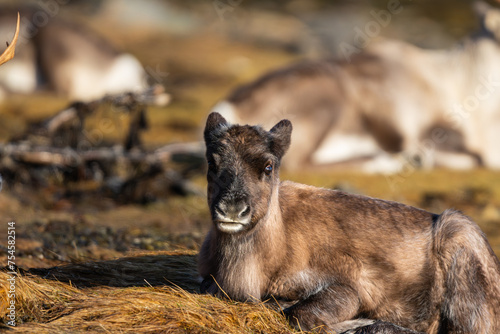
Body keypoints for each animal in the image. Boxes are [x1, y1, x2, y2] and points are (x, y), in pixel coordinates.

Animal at [198, 113, 500, 334]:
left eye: (268, 166)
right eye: (211, 163)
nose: (233, 208)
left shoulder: (346, 287)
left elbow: (300, 314)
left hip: (461, 241)